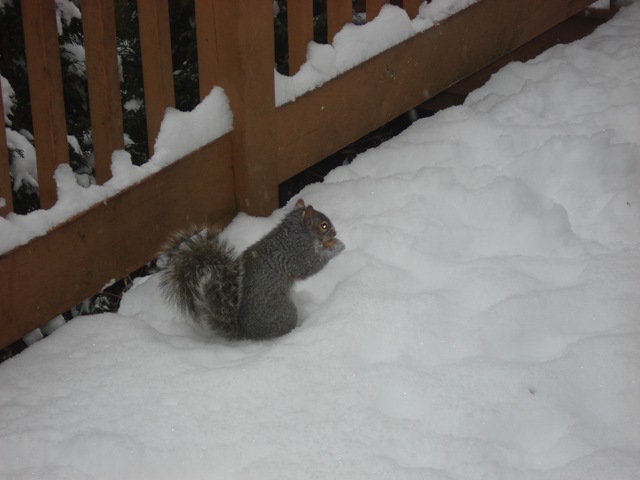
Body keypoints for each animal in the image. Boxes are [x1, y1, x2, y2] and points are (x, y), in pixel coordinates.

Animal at [159, 199, 345, 340]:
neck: (295, 234)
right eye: (323, 226)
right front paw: (337, 248)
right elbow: (310, 266)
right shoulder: (296, 255)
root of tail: (247, 332)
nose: (335, 233)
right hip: (283, 311)